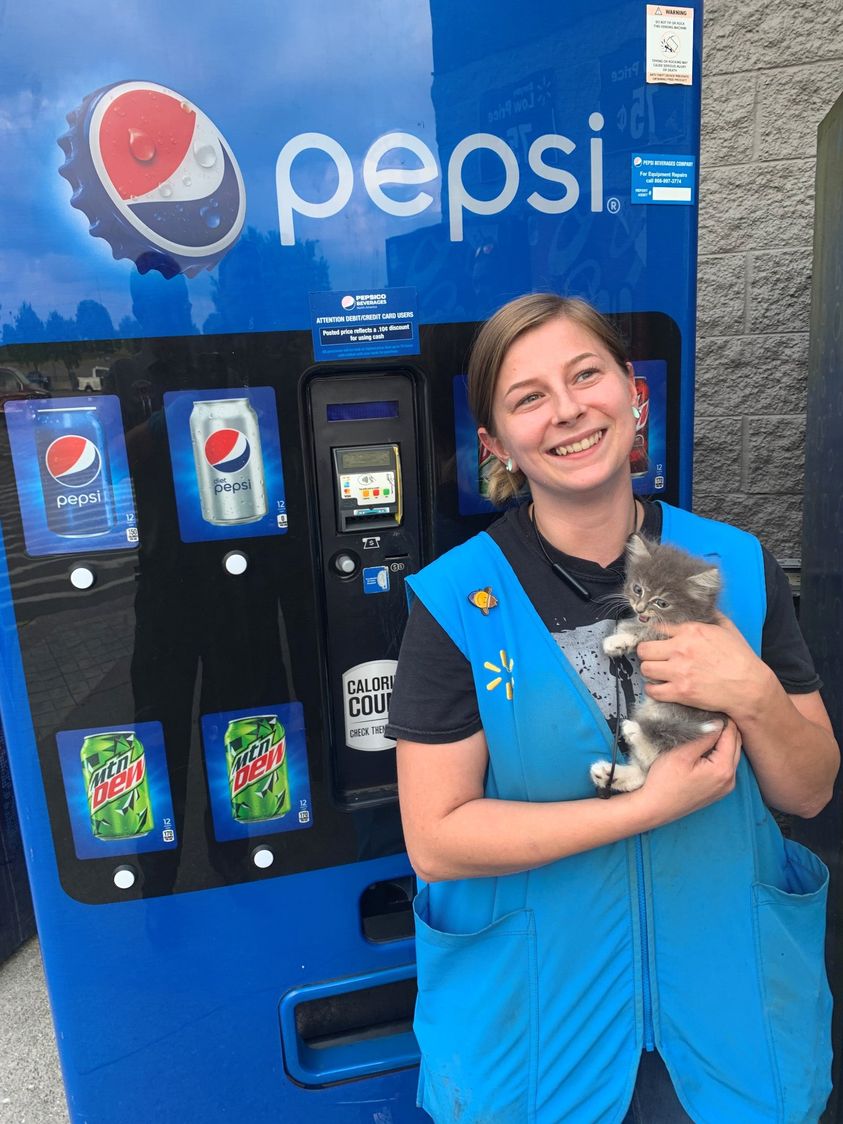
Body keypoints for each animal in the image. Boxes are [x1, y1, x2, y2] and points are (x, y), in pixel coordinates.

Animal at [593, 530, 728, 795]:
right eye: (638, 589)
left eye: (662, 603)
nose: (639, 608)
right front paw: (620, 638)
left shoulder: (673, 633)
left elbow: (647, 631)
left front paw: (618, 638)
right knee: (644, 774)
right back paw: (607, 774)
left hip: (679, 714)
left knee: (661, 747)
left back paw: (634, 730)